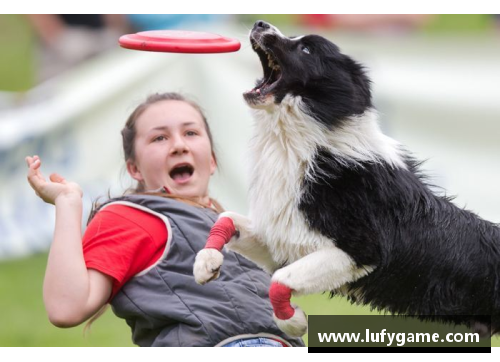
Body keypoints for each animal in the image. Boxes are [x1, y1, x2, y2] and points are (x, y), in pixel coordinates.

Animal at [193, 19, 498, 336]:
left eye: (306, 49)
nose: (260, 23)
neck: (302, 143)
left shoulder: (359, 252)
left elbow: (279, 281)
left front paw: (293, 321)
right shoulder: (285, 242)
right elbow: (225, 217)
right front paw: (206, 263)